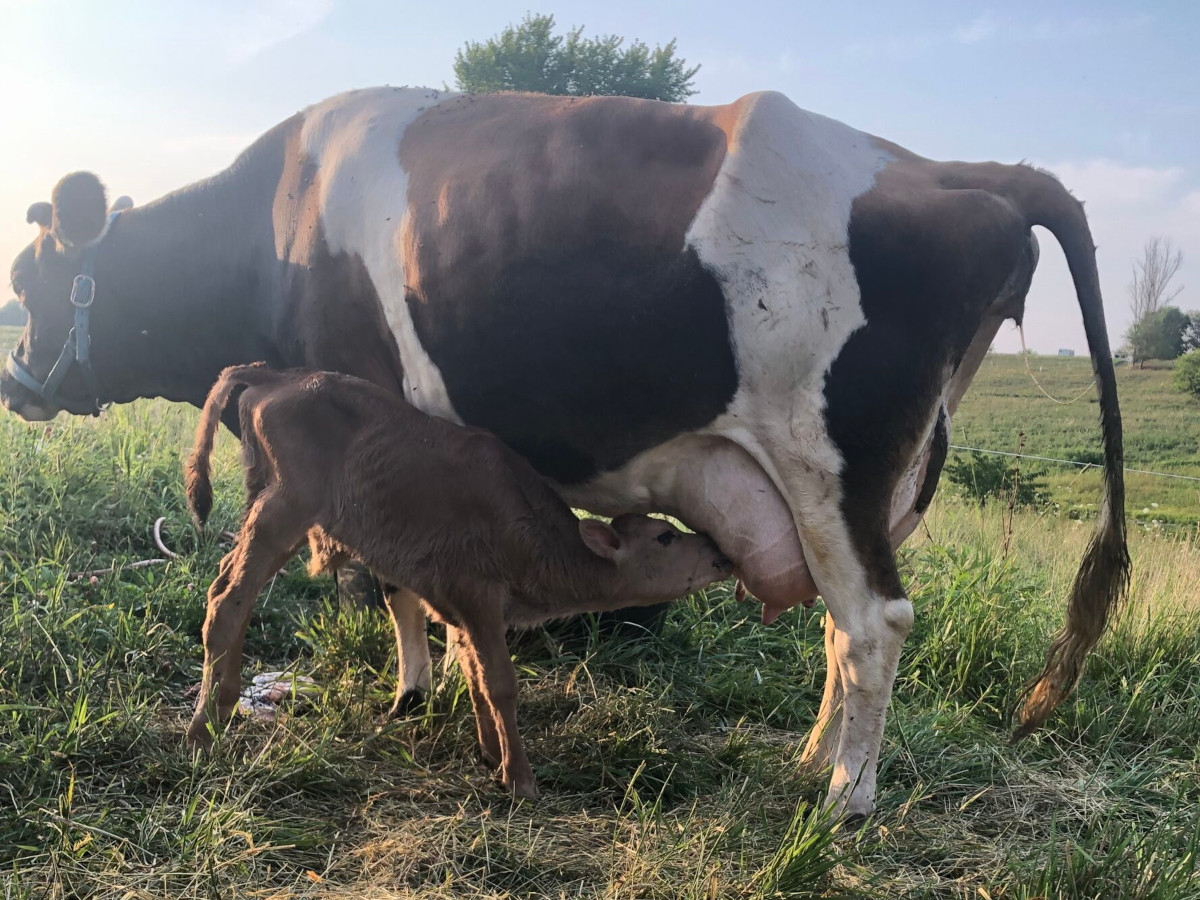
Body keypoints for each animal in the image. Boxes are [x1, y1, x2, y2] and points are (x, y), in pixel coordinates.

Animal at [182, 364, 734, 797]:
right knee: (228, 600)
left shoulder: (462, 610)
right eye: (665, 536)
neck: (531, 529)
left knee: (231, 587)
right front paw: (520, 778)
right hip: (285, 508)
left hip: (265, 503)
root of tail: (275, 375)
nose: (718, 552)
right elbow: (500, 683)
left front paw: (491, 755)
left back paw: (223, 706)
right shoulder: (480, 599)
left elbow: (472, 675)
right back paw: (201, 733)